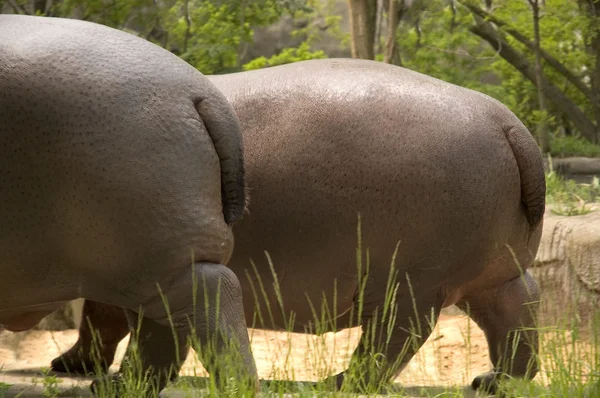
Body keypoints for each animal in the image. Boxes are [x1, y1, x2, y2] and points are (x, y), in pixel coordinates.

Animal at [0, 14, 258, 394]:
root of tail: (201, 92)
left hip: (145, 254)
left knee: (210, 299)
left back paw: (233, 388)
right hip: (141, 261)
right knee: (159, 331)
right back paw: (116, 387)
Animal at [50, 57, 544, 394]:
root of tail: (509, 125)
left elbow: (115, 321)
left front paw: (88, 375)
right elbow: (103, 318)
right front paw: (72, 366)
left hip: (410, 283)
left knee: (395, 337)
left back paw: (339, 381)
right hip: (489, 269)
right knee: (517, 306)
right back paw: (495, 381)